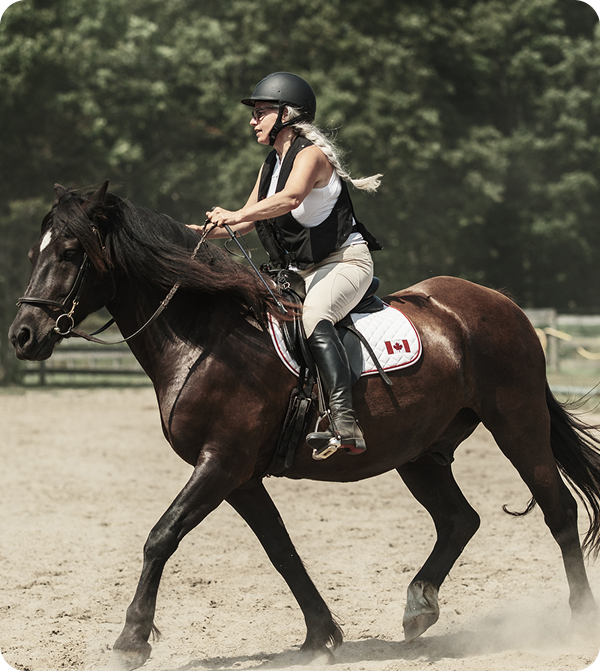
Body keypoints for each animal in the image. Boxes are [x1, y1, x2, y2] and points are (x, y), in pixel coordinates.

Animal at [9, 181, 600, 671]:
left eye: (70, 253)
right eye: (36, 252)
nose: (22, 335)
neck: (207, 338)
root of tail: (502, 305)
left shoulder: (220, 464)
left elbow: (162, 536)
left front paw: (131, 640)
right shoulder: (240, 477)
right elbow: (281, 551)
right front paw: (320, 636)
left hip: (518, 425)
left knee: (558, 510)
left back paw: (578, 620)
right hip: (420, 453)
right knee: (459, 520)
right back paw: (418, 607)